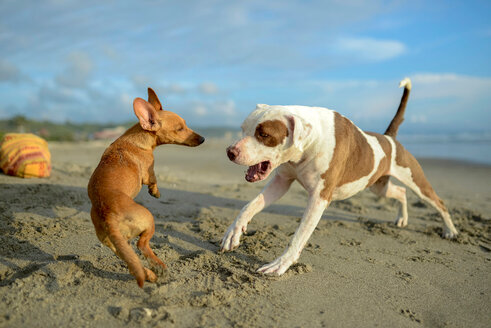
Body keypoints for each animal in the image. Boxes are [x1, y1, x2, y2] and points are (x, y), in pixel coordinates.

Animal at [88, 88, 204, 288]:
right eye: (180, 128)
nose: (203, 138)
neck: (136, 139)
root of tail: (107, 214)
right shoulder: (149, 171)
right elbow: (154, 179)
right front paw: (155, 192)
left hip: (117, 245)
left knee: (132, 262)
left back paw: (150, 274)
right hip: (149, 220)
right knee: (142, 245)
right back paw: (159, 266)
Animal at [221, 78, 460, 276]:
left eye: (264, 135)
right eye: (243, 128)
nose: (230, 151)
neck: (310, 141)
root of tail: (389, 138)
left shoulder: (319, 198)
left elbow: (299, 235)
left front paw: (280, 264)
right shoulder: (281, 182)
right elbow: (249, 206)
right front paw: (234, 232)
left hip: (416, 180)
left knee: (438, 202)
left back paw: (450, 230)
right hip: (378, 186)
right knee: (400, 192)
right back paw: (402, 218)